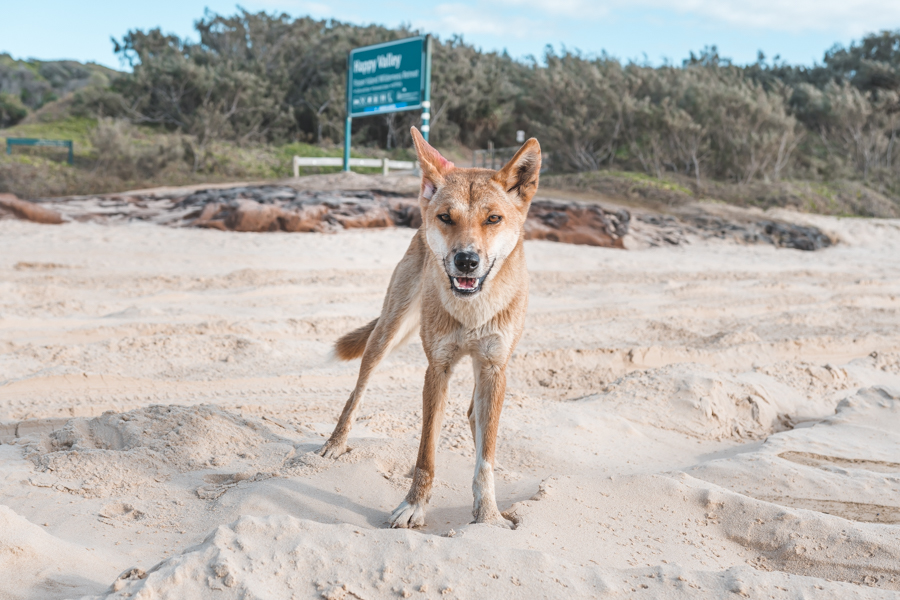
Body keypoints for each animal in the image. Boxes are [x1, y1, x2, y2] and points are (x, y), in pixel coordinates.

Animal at [318, 126, 541, 529]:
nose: (466, 260)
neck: (471, 311)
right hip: (387, 332)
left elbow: (485, 456)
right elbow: (426, 454)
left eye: (493, 219)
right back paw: (335, 442)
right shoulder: (437, 368)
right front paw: (414, 505)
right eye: (446, 217)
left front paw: (488, 514)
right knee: (357, 392)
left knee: (476, 419)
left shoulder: (494, 367)